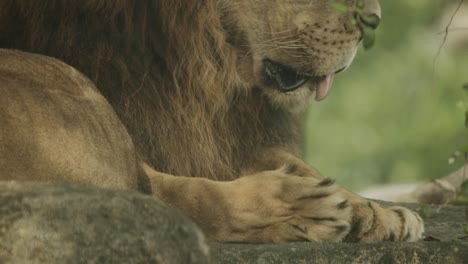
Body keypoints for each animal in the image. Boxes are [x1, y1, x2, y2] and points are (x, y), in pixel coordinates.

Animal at [0, 0, 424, 243]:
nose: (374, 20)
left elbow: (298, 162)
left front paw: (381, 212)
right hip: (76, 93)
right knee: (160, 197)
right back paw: (302, 208)